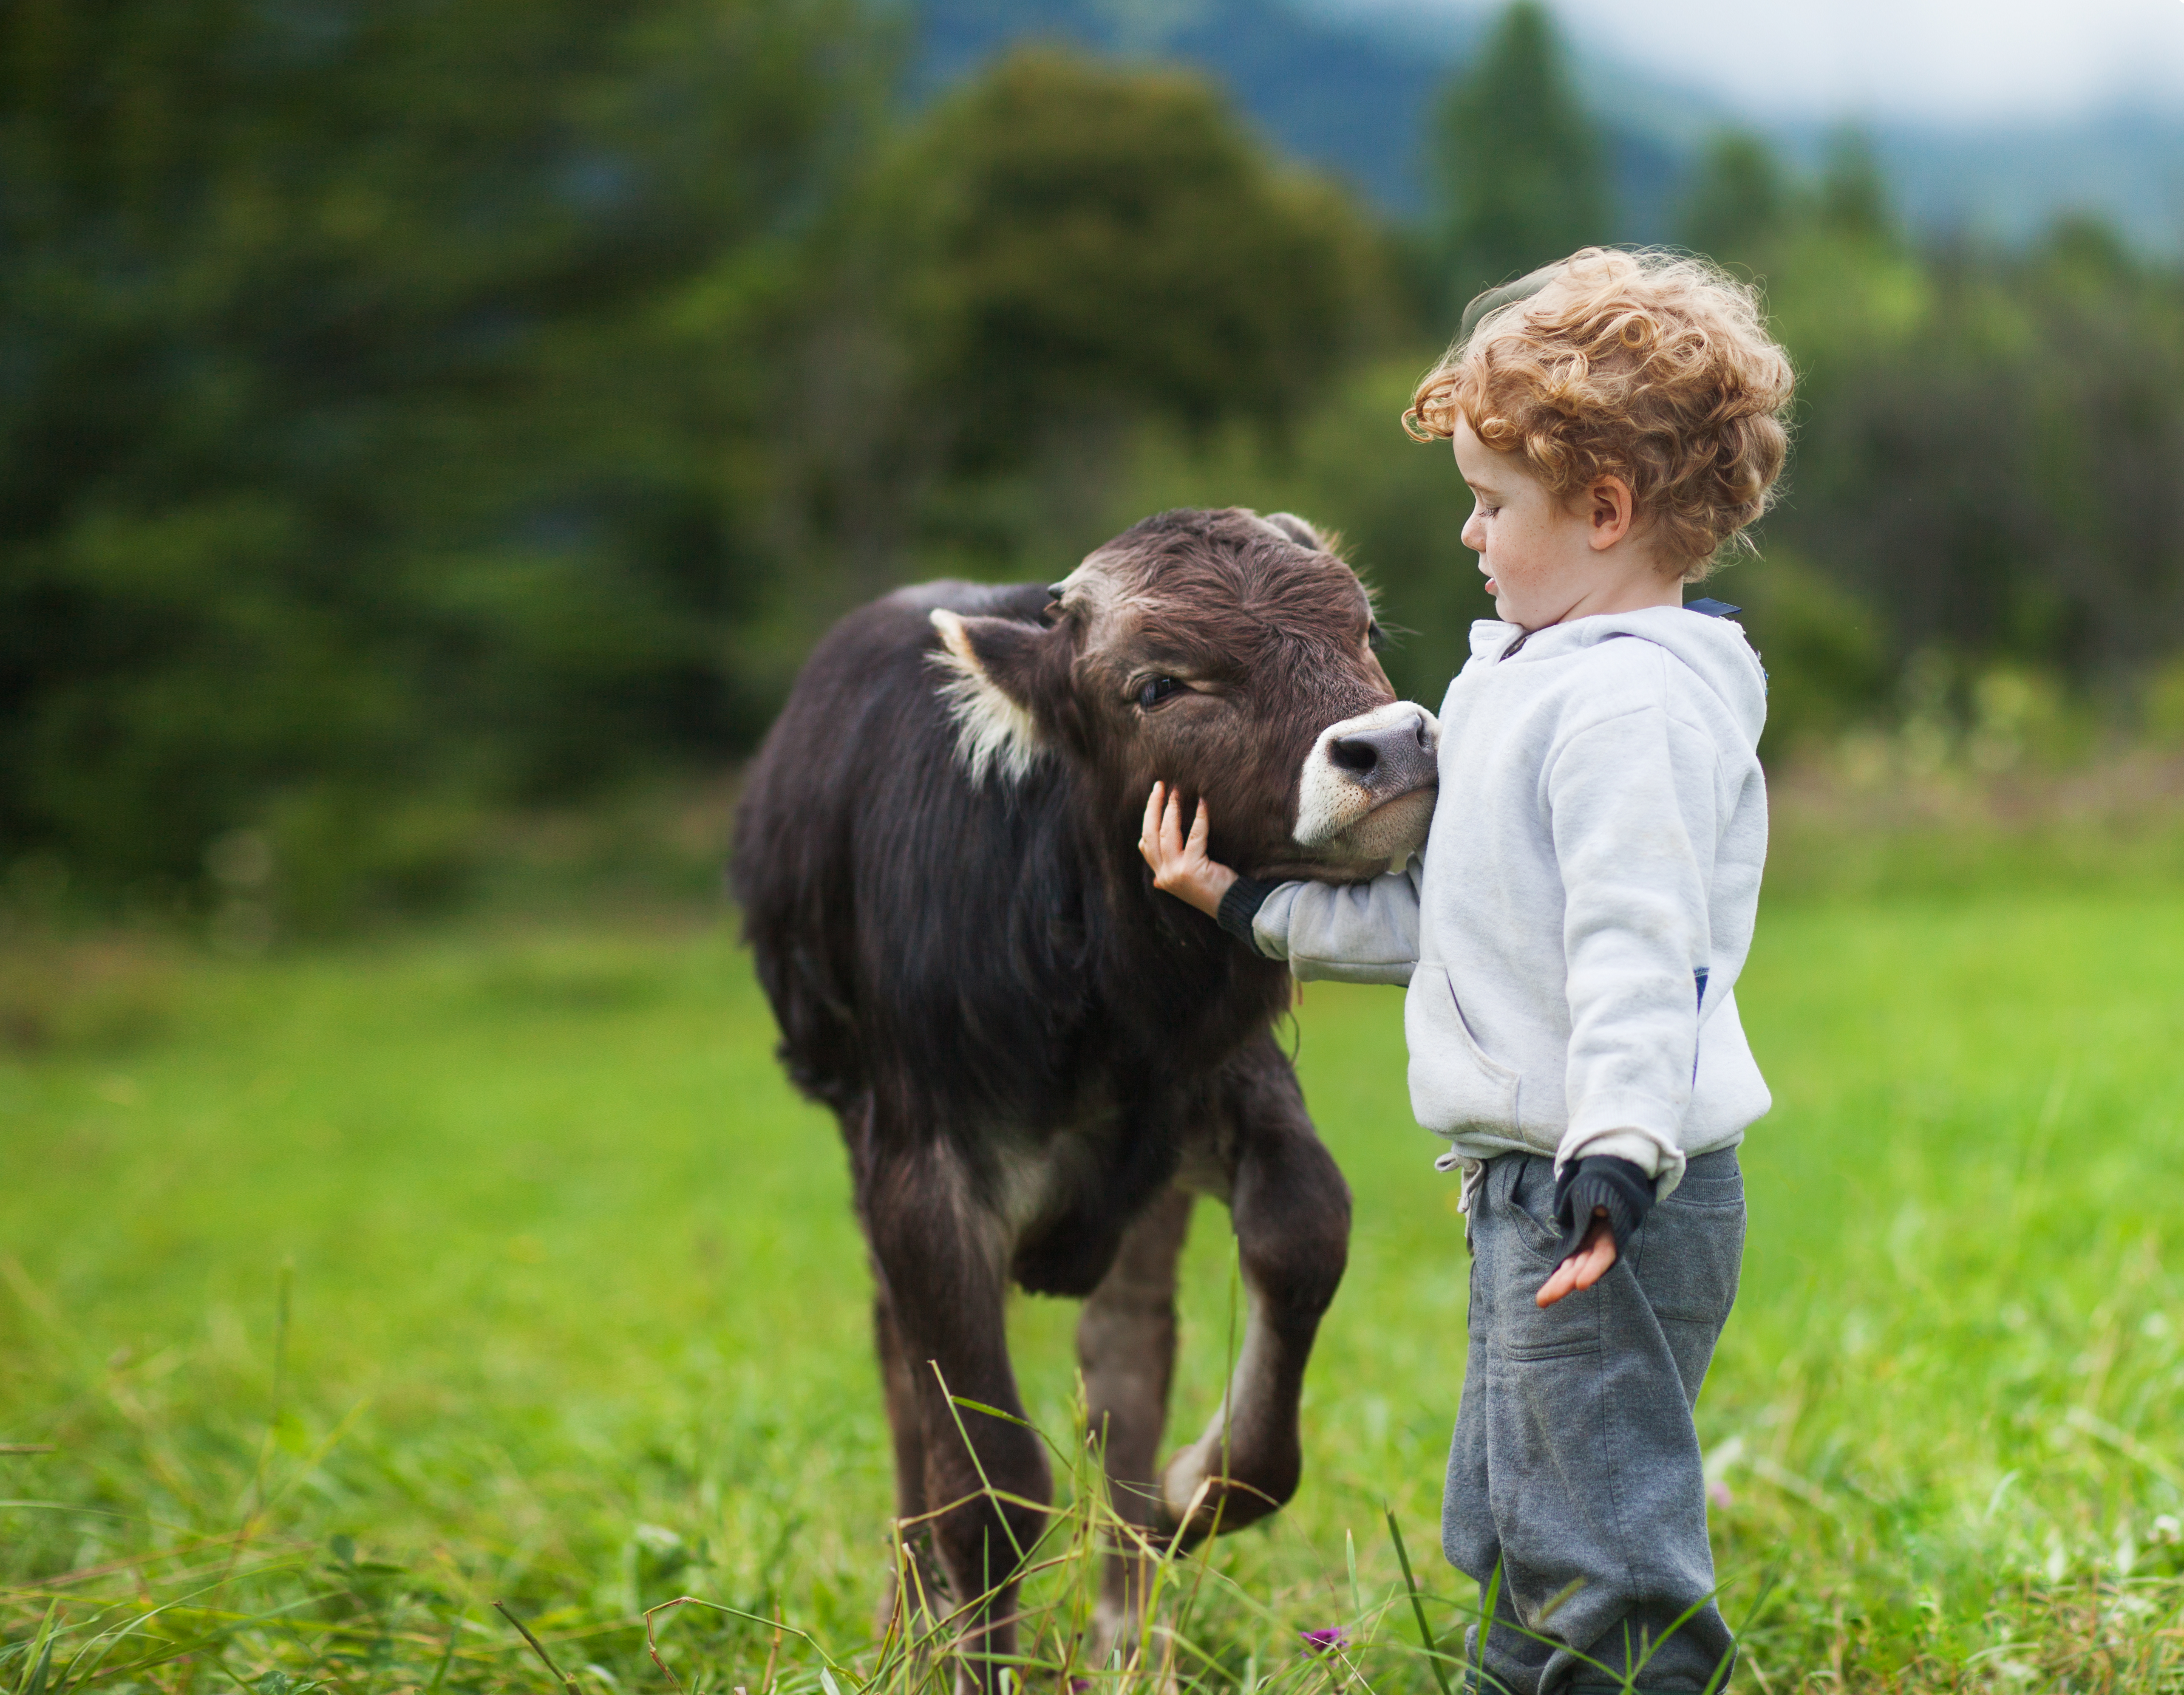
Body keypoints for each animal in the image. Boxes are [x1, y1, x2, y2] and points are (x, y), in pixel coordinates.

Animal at [731, 508, 1439, 1688]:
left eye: (1366, 625)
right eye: (1156, 684)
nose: (1390, 747)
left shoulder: (1221, 1084)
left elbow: (1302, 1239)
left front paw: (1201, 1486)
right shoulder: (920, 1168)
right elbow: (986, 1476)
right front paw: (968, 1660)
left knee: (1126, 1370)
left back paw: (1128, 1636)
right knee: (908, 1379)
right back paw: (914, 1615)